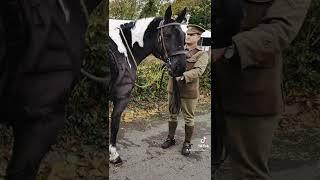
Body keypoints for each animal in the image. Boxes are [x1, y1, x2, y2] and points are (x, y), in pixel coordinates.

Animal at [108, 6, 188, 163]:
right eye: (167, 35)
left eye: (184, 36)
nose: (180, 67)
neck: (123, 51)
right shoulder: (121, 97)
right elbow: (114, 124)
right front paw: (114, 155)